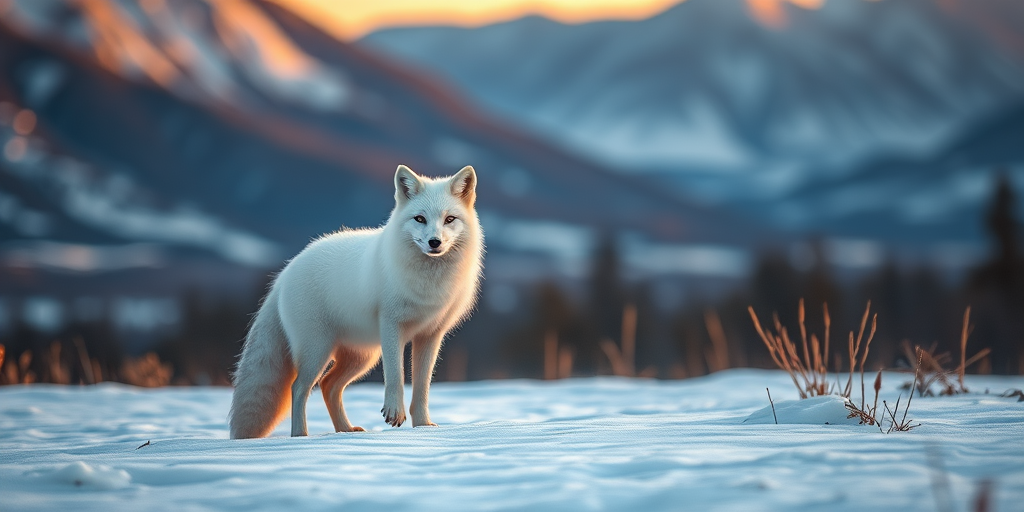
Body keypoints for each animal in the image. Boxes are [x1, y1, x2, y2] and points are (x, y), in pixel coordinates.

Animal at [228, 164, 484, 439]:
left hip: (361, 356)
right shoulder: (391, 325)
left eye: (450, 219)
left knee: (328, 385)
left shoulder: (431, 334)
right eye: (419, 219)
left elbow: (422, 386)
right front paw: (395, 413)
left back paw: (345, 430)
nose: (434, 242)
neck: (428, 286)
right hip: (318, 350)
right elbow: (395, 375)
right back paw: (301, 436)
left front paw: (424, 425)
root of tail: (285, 272)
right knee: (299, 388)